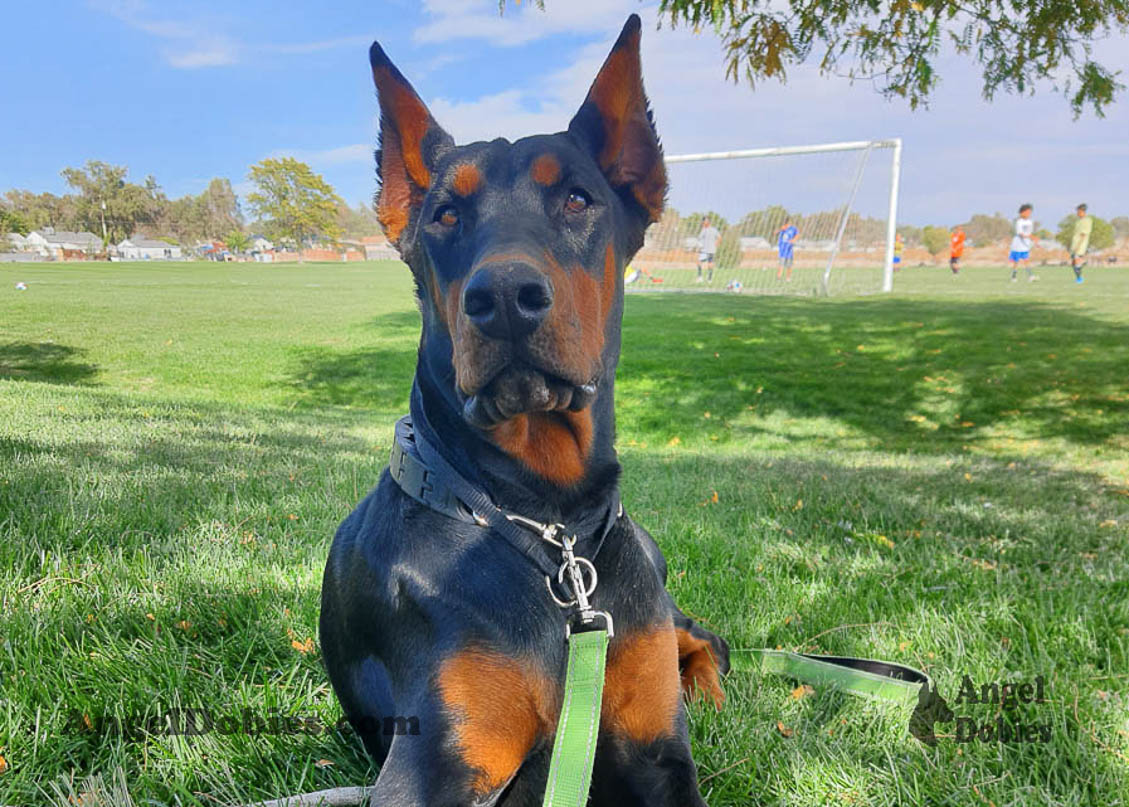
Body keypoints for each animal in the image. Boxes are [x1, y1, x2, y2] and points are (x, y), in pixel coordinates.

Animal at [322, 14, 727, 807]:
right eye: (445, 213)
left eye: (577, 199)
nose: (505, 296)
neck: (545, 522)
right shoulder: (433, 766)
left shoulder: (657, 753)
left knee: (703, 636)